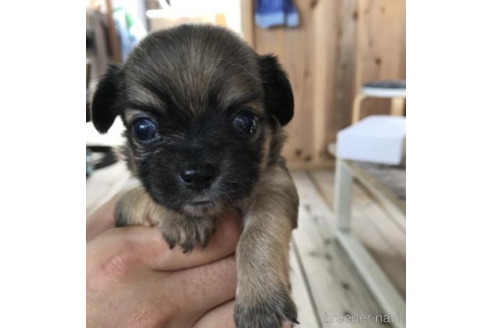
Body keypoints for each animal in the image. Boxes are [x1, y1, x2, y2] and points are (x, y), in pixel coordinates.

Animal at [92, 24, 300, 326]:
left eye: (246, 122)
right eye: (143, 129)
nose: (197, 174)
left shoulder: (275, 188)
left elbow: (258, 236)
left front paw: (260, 301)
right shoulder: (126, 198)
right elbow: (146, 197)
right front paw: (183, 220)